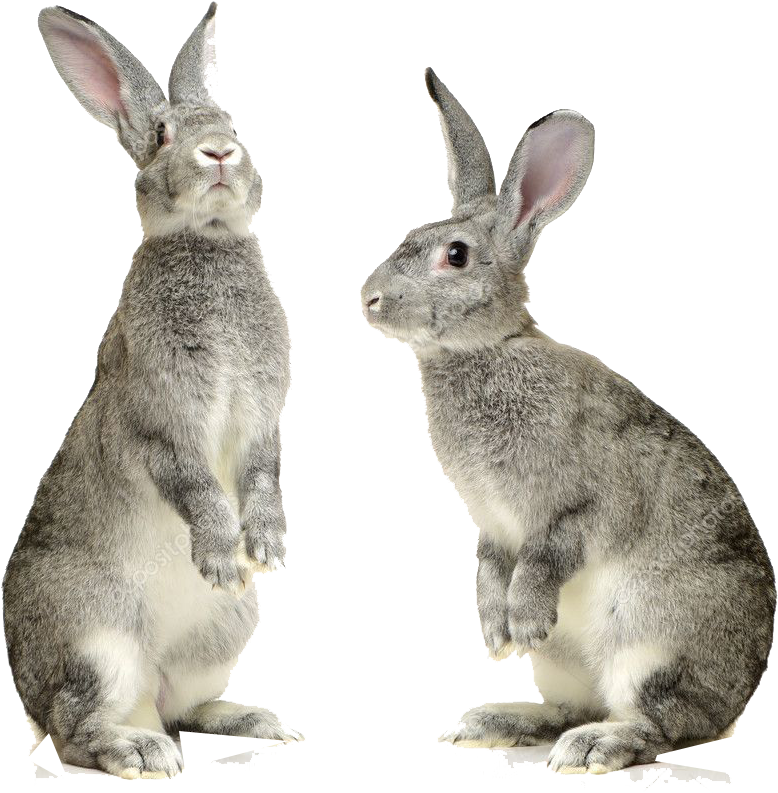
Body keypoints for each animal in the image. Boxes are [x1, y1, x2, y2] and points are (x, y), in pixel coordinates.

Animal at [2, 3, 298, 779]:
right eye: (163, 135)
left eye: (229, 120)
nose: (220, 153)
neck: (207, 240)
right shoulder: (161, 422)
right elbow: (195, 484)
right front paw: (223, 555)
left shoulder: (262, 420)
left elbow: (261, 475)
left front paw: (266, 549)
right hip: (95, 644)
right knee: (75, 729)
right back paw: (139, 752)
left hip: (224, 631)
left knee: (181, 704)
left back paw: (251, 718)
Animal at [360, 68, 775, 774]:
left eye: (455, 255)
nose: (370, 298)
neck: (487, 349)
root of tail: (738, 698)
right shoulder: (493, 527)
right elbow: (490, 567)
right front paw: (497, 635)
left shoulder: (575, 506)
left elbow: (546, 556)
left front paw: (522, 623)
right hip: (564, 666)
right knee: (575, 705)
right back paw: (498, 722)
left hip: (651, 647)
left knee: (665, 722)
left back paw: (595, 746)